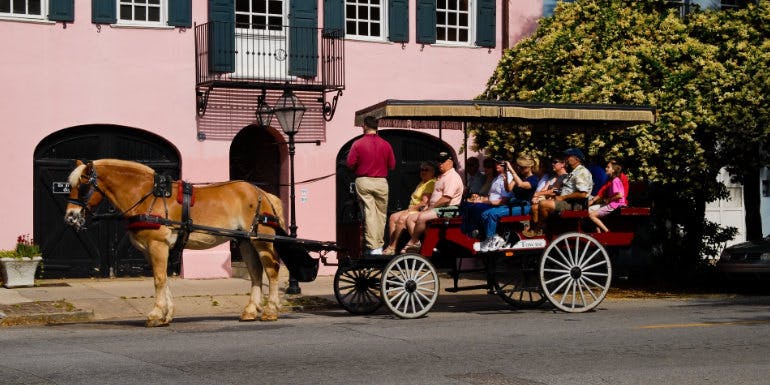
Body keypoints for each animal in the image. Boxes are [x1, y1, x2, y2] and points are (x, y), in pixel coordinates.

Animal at [63, 158, 284, 326]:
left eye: (83, 186)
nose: (70, 217)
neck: (146, 195)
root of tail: (262, 193)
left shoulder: (158, 244)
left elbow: (159, 279)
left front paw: (155, 314)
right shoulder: (150, 249)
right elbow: (163, 278)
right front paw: (166, 314)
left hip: (261, 240)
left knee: (271, 269)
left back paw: (271, 310)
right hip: (245, 241)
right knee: (255, 272)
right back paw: (250, 311)